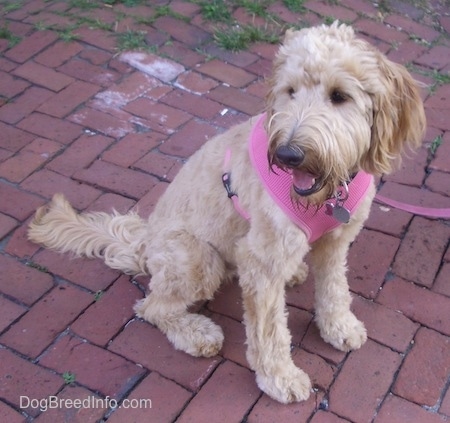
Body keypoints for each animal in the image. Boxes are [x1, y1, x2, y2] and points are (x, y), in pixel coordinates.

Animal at [29, 22, 426, 404]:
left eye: (340, 96)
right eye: (290, 91)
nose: (287, 155)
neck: (326, 194)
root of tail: (144, 244)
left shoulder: (335, 242)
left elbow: (334, 288)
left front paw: (338, 326)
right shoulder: (263, 262)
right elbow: (269, 330)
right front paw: (279, 378)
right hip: (196, 259)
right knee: (152, 307)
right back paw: (196, 333)